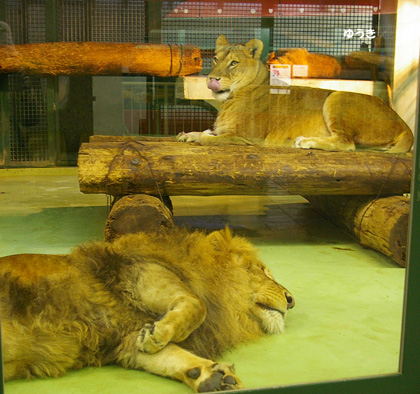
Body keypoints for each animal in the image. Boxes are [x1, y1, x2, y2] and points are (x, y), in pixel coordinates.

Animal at [0, 226, 296, 392]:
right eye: (261, 270)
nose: (291, 299)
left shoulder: (127, 340)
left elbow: (175, 357)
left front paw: (213, 377)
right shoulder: (141, 273)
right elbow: (196, 305)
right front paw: (158, 334)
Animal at [178, 35, 414, 152]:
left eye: (233, 63)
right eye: (215, 59)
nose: (212, 78)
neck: (229, 99)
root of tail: (402, 121)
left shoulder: (248, 138)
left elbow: (210, 139)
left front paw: (199, 136)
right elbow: (206, 133)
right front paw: (188, 134)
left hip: (337, 96)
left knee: (347, 144)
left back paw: (304, 142)